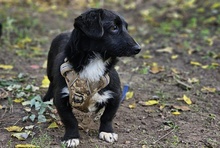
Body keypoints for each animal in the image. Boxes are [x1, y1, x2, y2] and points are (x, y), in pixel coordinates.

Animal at [43, 8, 141, 147]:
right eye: (114, 27)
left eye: (126, 28)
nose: (138, 48)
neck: (95, 62)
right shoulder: (60, 98)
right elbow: (70, 120)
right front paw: (71, 137)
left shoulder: (115, 95)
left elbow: (107, 116)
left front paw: (107, 132)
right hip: (50, 72)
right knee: (51, 84)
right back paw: (46, 100)